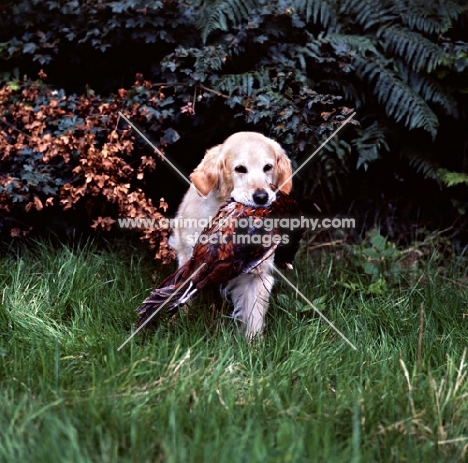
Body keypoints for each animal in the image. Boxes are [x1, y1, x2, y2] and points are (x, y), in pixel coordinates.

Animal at [168, 132, 292, 338]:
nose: (261, 197)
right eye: (240, 169)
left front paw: (253, 343)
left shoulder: (257, 274)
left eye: (268, 167)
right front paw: (178, 324)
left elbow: (254, 315)